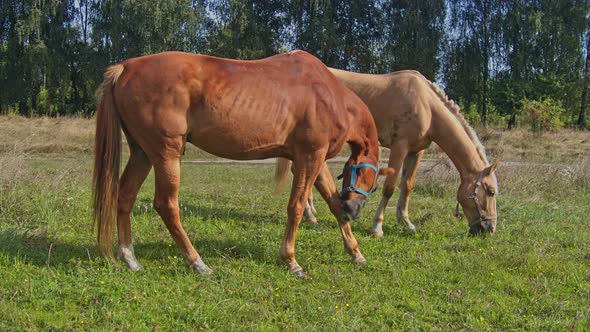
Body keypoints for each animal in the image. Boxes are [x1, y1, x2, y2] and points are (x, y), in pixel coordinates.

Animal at [92, 50, 390, 278]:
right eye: (373, 185)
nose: (354, 210)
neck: (328, 94)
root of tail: (126, 67)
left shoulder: (315, 160)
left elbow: (332, 202)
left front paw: (356, 252)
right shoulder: (310, 158)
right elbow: (295, 207)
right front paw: (291, 261)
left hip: (142, 153)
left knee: (125, 197)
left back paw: (130, 258)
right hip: (166, 154)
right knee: (166, 205)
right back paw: (197, 262)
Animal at [292, 67, 500, 235]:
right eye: (490, 192)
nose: (489, 228)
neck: (427, 105)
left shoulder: (416, 151)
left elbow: (407, 185)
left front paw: (406, 222)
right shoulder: (400, 146)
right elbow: (389, 187)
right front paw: (377, 227)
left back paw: (310, 214)